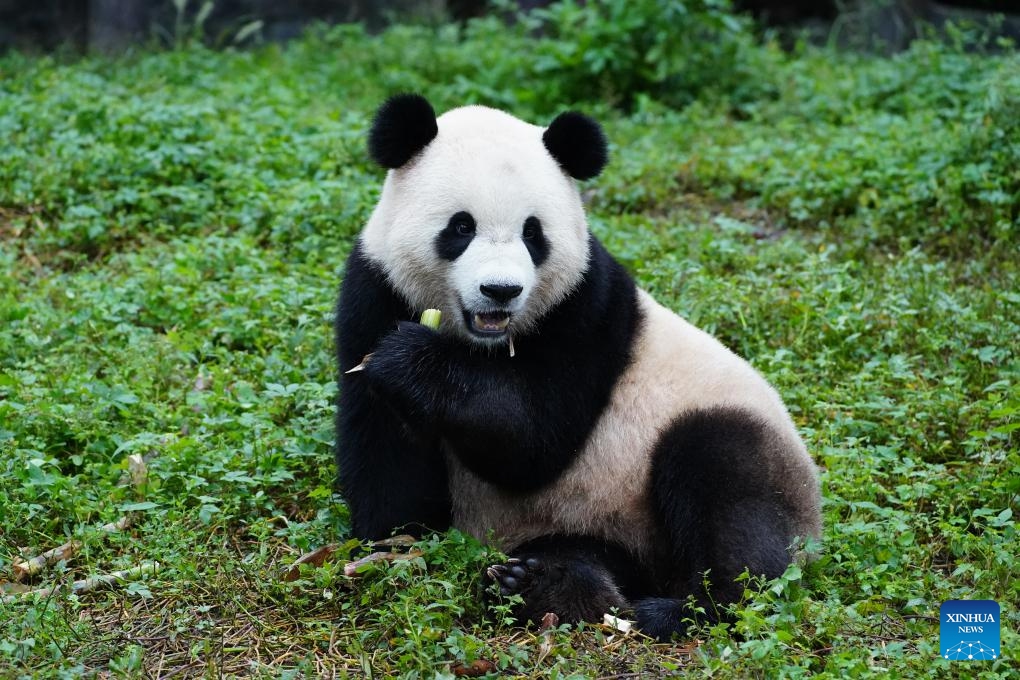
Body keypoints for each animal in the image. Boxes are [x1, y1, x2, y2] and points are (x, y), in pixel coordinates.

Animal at [334, 93, 820, 640]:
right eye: (461, 226)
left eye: (533, 233)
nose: (501, 290)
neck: (483, 343)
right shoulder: (374, 290)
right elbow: (385, 445)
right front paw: (391, 542)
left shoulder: (586, 307)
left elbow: (535, 441)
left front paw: (411, 361)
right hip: (589, 523)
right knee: (585, 553)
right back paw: (544, 585)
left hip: (722, 444)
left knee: (730, 488)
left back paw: (683, 610)